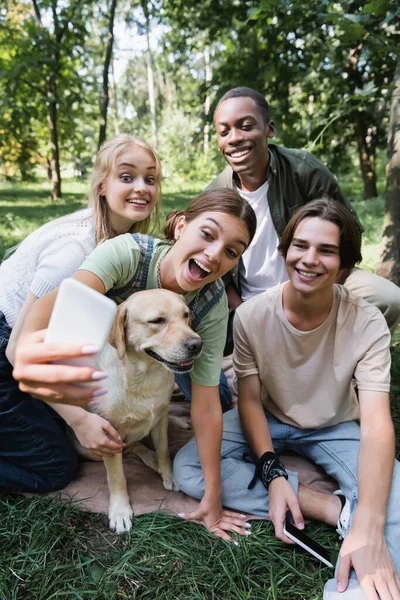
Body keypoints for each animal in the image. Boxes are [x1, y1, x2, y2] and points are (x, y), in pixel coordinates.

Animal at [86, 288, 203, 532]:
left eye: (186, 315)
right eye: (157, 321)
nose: (197, 344)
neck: (145, 376)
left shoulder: (159, 420)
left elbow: (164, 450)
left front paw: (168, 474)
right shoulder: (107, 435)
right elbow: (117, 477)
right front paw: (120, 510)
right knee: (130, 448)